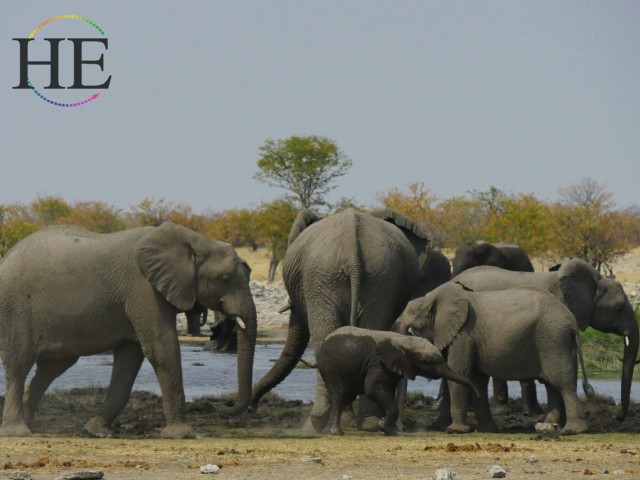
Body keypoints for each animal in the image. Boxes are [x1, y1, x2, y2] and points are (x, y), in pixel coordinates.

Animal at [0, 223, 255, 436]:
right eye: (225, 279)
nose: (224, 405)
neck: (195, 241)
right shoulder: (143, 289)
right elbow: (161, 347)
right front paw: (183, 434)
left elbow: (130, 357)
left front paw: (97, 431)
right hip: (16, 308)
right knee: (19, 365)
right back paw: (17, 431)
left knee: (51, 368)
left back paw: (31, 423)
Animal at [250, 207, 430, 428]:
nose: (252, 407)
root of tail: (352, 250)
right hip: (379, 277)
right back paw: (368, 422)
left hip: (322, 280)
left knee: (323, 340)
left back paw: (319, 422)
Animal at [312, 326, 478, 436]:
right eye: (428, 361)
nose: (479, 395)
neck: (404, 340)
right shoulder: (377, 363)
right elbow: (372, 389)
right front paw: (383, 427)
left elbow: (387, 392)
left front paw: (388, 430)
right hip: (330, 365)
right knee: (340, 394)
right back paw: (335, 432)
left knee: (346, 395)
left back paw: (324, 429)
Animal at [400, 282, 592, 436]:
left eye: (413, 329)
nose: (402, 428)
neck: (432, 297)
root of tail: (572, 320)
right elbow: (475, 379)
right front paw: (487, 430)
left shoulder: (464, 335)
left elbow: (459, 373)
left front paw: (455, 431)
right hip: (559, 342)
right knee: (553, 384)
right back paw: (548, 425)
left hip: (553, 340)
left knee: (562, 383)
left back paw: (572, 430)